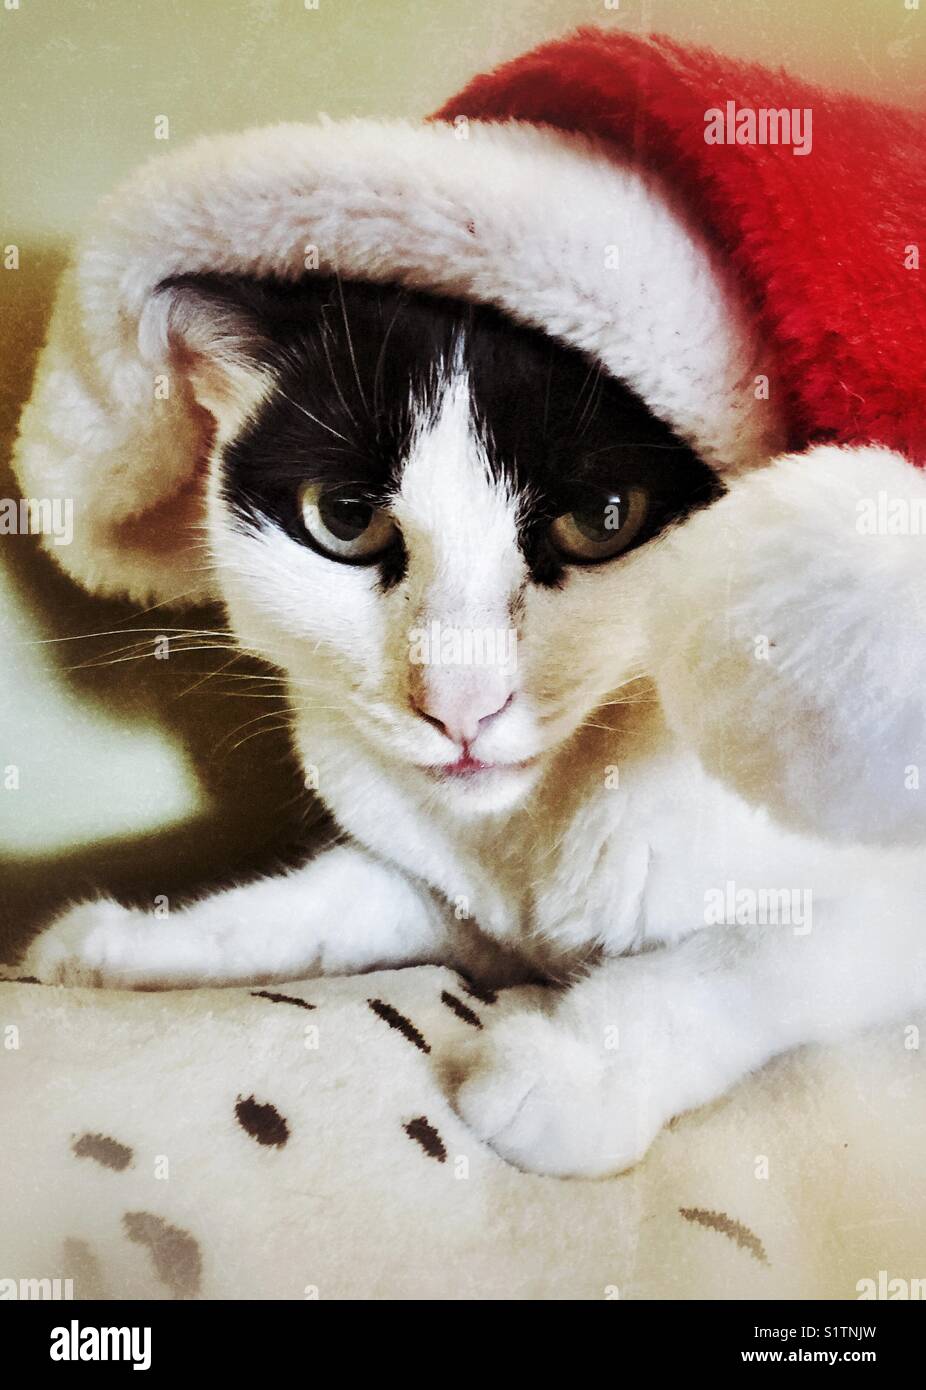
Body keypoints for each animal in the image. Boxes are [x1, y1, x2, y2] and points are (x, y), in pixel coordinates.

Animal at [21, 276, 923, 1178]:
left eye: (603, 519)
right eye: (344, 518)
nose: (460, 704)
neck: (530, 829)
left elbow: (749, 959)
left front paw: (572, 1072)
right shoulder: (458, 904)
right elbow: (329, 904)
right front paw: (132, 943)